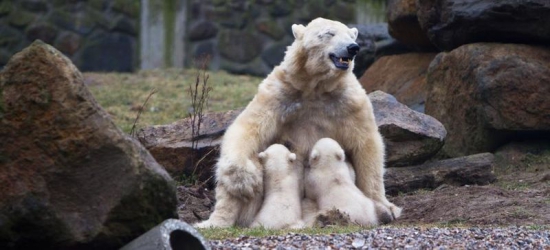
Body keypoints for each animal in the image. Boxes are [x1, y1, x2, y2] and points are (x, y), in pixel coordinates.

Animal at [196, 17, 404, 229]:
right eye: (329, 33)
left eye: (351, 35)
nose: (352, 48)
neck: (315, 86)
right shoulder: (279, 93)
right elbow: (248, 128)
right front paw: (241, 176)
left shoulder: (349, 102)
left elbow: (365, 144)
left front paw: (386, 206)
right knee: (245, 173)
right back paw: (215, 221)